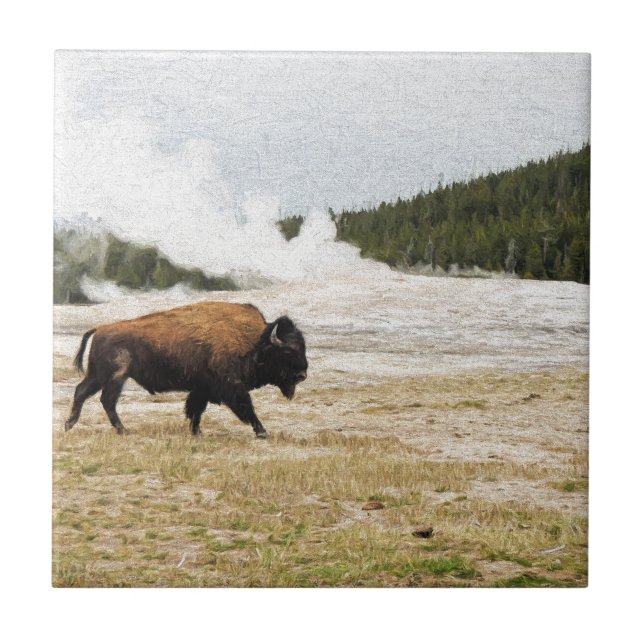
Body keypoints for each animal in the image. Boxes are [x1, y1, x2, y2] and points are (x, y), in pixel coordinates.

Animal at [64, 302, 308, 437]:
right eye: (287, 353)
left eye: (302, 347)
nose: (302, 374)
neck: (255, 342)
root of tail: (100, 328)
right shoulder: (231, 387)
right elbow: (246, 408)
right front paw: (262, 431)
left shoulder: (202, 389)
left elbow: (195, 410)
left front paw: (197, 432)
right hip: (114, 377)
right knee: (106, 400)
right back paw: (122, 430)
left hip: (98, 376)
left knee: (82, 392)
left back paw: (70, 425)